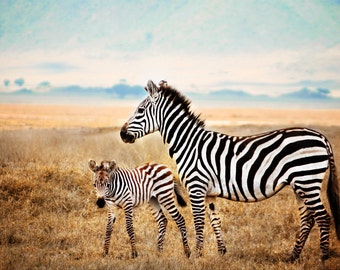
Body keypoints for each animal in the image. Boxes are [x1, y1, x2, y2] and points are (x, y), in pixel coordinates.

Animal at [120, 80, 340, 262]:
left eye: (140, 110)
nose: (122, 134)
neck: (189, 144)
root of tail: (321, 137)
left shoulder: (196, 187)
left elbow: (199, 221)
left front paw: (197, 256)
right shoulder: (209, 193)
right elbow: (214, 220)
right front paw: (221, 252)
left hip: (307, 180)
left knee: (323, 217)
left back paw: (323, 257)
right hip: (300, 185)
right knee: (307, 219)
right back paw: (292, 257)